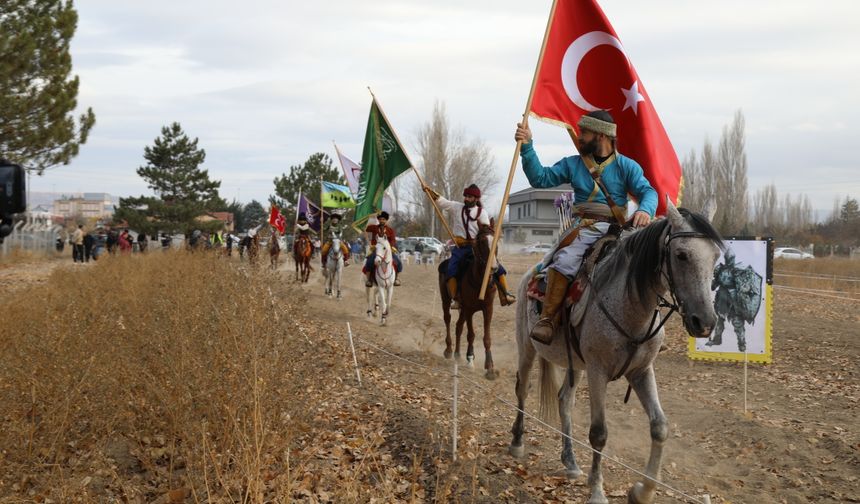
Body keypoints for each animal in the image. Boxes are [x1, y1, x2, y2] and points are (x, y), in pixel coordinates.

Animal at [436, 226, 498, 380]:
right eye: (482, 242)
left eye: (497, 241)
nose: (493, 267)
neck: (480, 281)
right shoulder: (470, 308)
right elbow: (471, 334)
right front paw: (470, 358)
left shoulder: (488, 308)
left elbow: (486, 337)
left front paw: (490, 368)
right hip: (446, 299)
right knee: (447, 319)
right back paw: (449, 350)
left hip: (462, 308)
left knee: (458, 326)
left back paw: (458, 354)